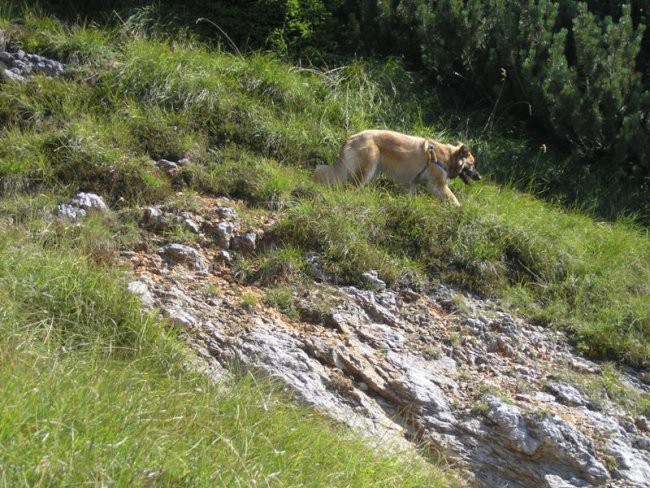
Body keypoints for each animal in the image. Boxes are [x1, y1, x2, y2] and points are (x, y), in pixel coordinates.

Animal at [314, 129, 480, 205]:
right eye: (471, 165)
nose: (480, 177)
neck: (447, 157)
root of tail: (351, 138)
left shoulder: (411, 184)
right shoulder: (438, 184)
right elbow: (453, 198)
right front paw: (459, 208)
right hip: (368, 168)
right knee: (352, 186)